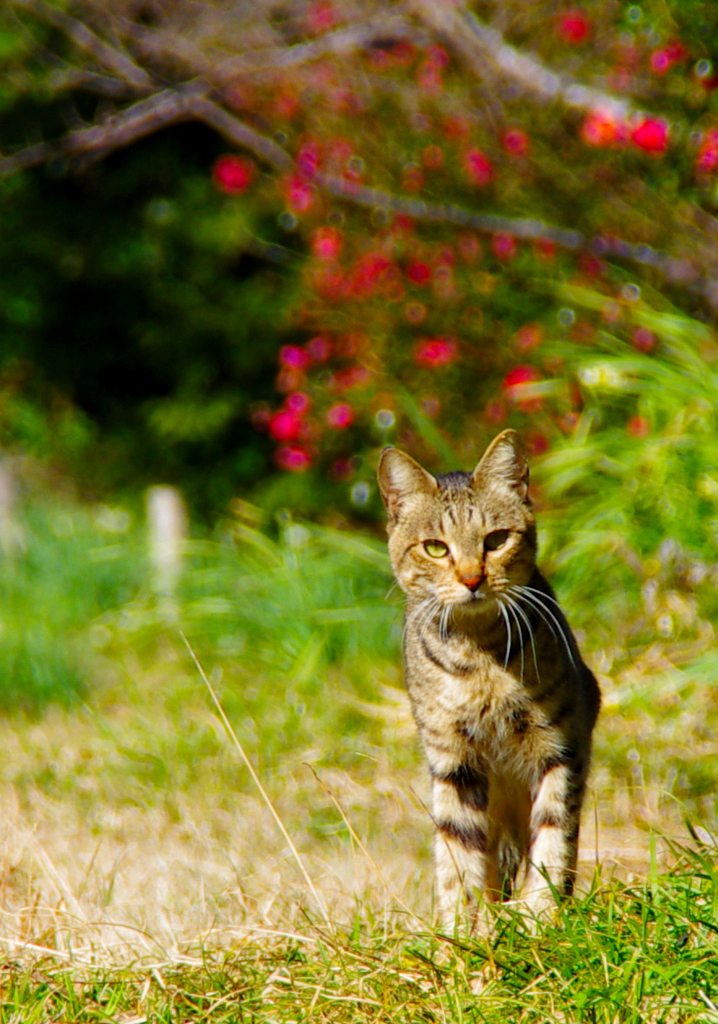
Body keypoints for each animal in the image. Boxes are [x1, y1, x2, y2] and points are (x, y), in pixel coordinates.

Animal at [374, 425, 598, 929]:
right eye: (436, 547)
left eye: (495, 540)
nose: (472, 579)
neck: (481, 660)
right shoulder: (453, 761)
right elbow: (457, 856)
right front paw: (465, 934)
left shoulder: (561, 745)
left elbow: (554, 838)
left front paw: (542, 918)